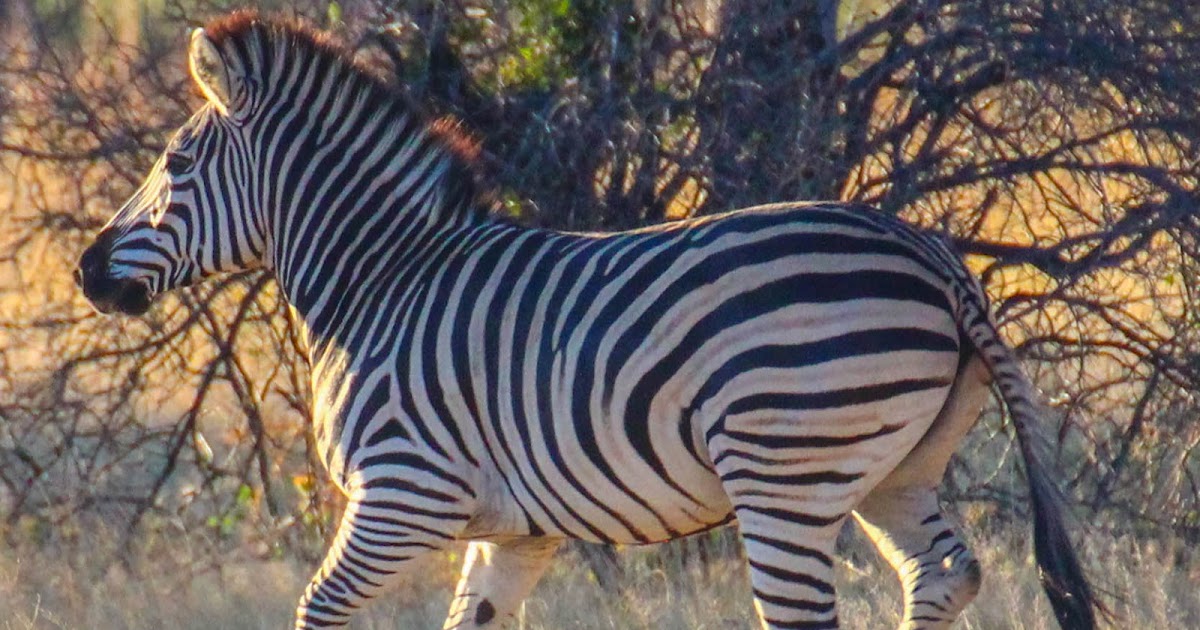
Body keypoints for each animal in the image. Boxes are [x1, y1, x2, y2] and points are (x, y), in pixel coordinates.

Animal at [76, 12, 1098, 630]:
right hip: (896, 468)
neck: (383, 279)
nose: (85, 273)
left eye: (175, 164)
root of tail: (931, 254)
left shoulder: (404, 492)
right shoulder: (513, 530)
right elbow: (471, 620)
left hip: (785, 472)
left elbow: (317, 610)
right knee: (944, 574)